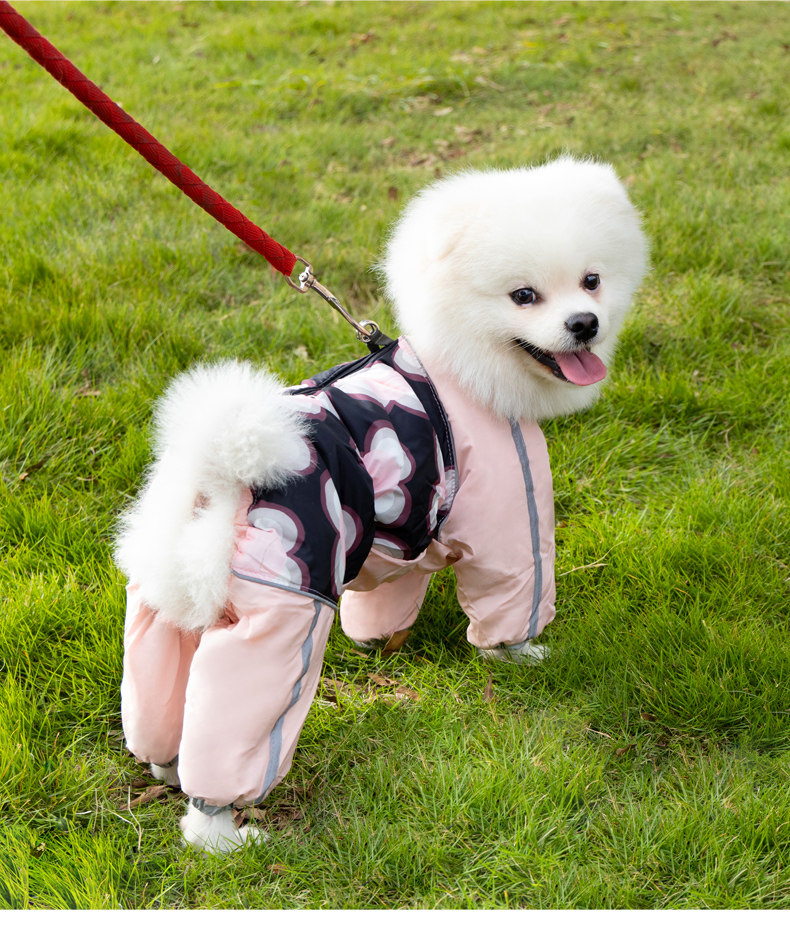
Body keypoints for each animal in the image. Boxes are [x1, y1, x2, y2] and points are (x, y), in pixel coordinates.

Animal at [115, 156, 648, 853]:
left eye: (592, 280)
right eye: (523, 296)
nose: (584, 323)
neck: (460, 364)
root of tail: (223, 473)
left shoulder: (401, 529)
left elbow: (389, 594)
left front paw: (379, 640)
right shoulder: (513, 504)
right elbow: (513, 595)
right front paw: (520, 655)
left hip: (163, 603)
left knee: (157, 702)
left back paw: (163, 766)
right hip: (282, 608)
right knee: (233, 727)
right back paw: (220, 830)